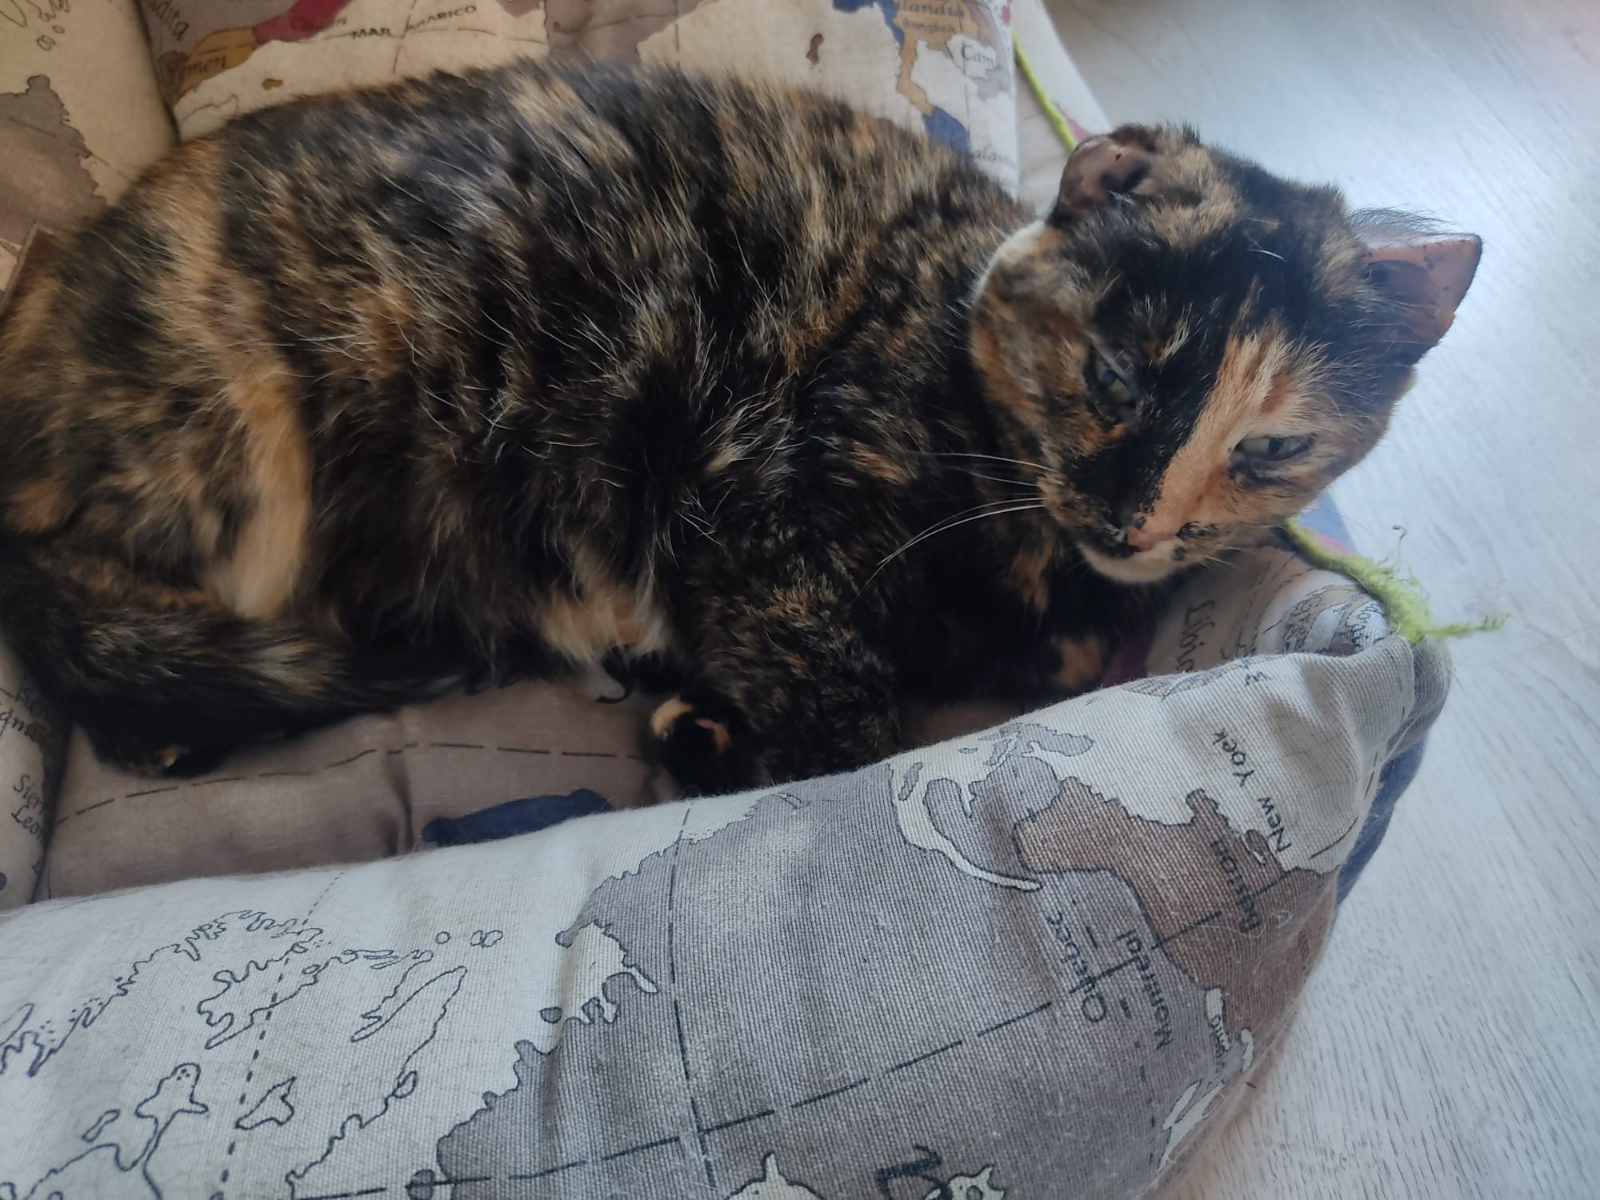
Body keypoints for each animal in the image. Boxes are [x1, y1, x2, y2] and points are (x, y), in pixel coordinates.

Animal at [0, 62, 1479, 794]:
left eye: (1269, 449)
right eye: (1116, 378)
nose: (1137, 521)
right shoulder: (751, 516)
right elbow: (853, 730)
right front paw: (712, 737)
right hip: (238, 444)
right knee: (98, 624)